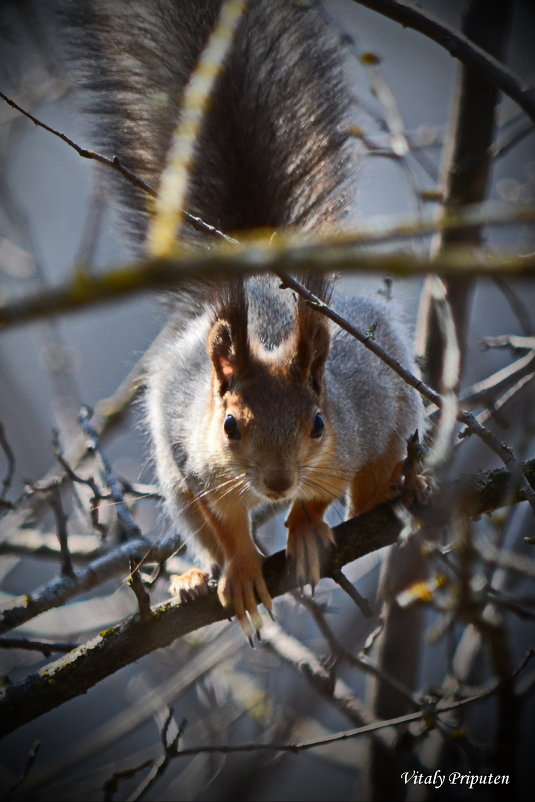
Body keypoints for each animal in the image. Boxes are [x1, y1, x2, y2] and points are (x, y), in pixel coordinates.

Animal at [59, 0, 428, 636]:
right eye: (230, 425)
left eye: (318, 424)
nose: (278, 482)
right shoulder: (198, 464)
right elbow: (226, 527)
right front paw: (238, 569)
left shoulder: (346, 440)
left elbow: (320, 495)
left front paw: (304, 530)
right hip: (175, 479)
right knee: (199, 528)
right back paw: (193, 579)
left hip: (395, 415)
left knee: (370, 490)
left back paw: (403, 486)